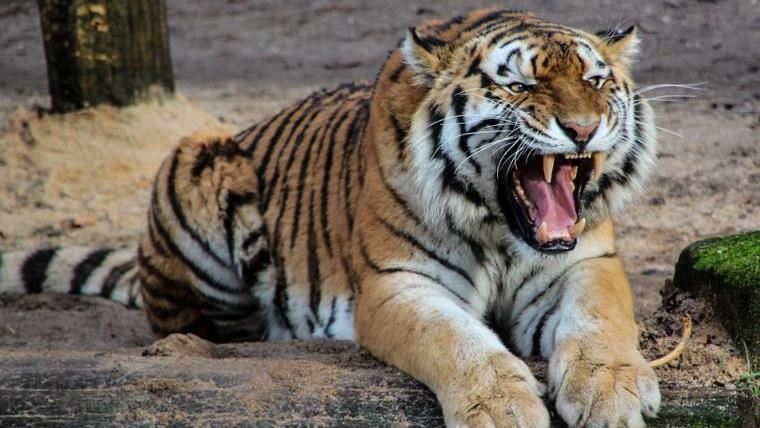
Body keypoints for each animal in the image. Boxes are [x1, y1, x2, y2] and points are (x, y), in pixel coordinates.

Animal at [0, 9, 662, 427]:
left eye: (595, 80)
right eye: (520, 86)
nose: (582, 129)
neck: (501, 229)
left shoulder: (585, 262)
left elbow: (600, 321)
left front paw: (613, 392)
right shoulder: (397, 284)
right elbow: (455, 340)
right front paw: (503, 410)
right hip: (196, 158)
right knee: (194, 324)